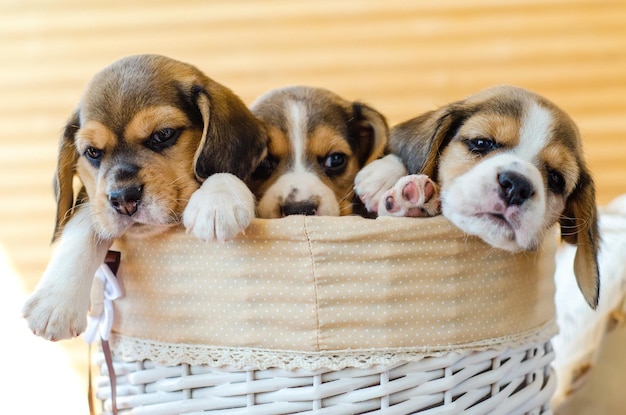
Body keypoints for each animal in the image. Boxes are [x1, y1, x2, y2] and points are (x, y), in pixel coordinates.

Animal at [21, 54, 266, 342]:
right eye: (92, 152)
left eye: (163, 134)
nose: (124, 199)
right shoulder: (94, 202)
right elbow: (83, 225)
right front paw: (57, 300)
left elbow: (217, 170)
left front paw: (217, 201)